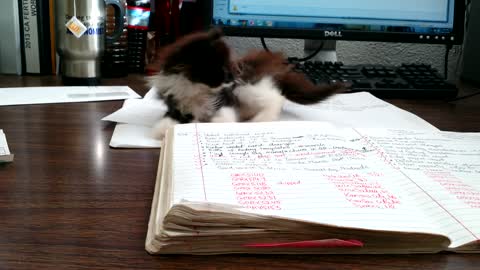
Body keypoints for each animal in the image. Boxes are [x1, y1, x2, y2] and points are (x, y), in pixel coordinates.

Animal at [146, 29, 344, 139]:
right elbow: (171, 117)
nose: (231, 78)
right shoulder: (175, 101)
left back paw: (260, 120)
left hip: (246, 87)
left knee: (276, 98)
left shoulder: (227, 99)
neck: (195, 88)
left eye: (229, 68)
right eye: (221, 70)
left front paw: (206, 122)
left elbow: (222, 119)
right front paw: (164, 128)